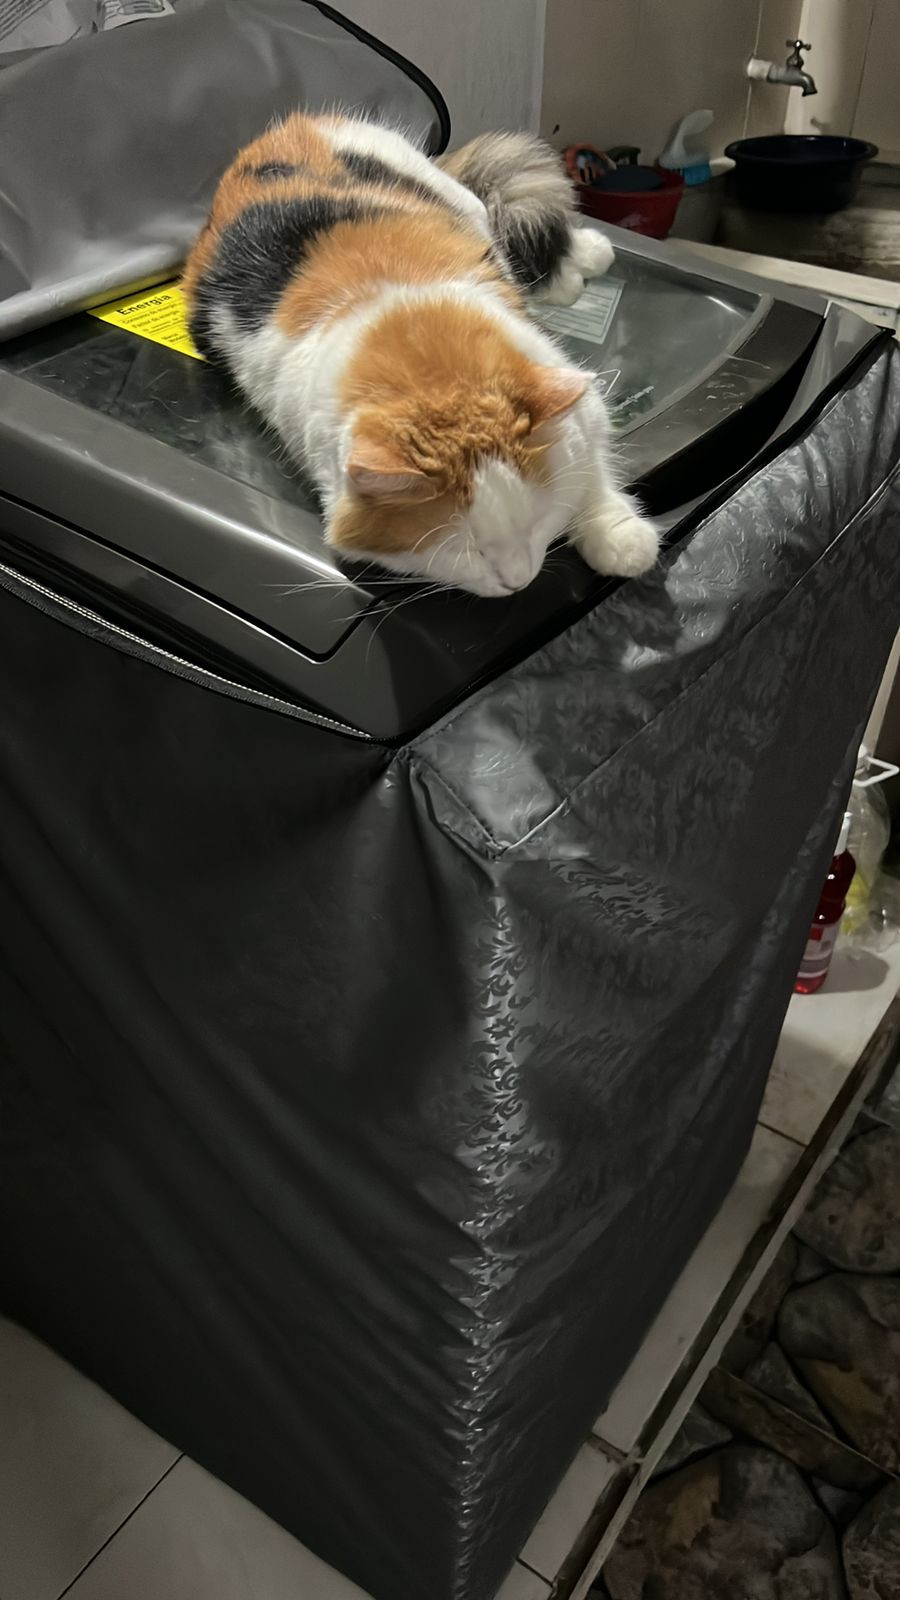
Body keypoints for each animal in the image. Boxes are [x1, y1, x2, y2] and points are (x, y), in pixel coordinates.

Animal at [182, 113, 659, 599]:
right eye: (468, 553)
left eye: (537, 522)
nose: (520, 582)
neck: (414, 340)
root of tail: (285, 128)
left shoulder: (572, 387)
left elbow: (593, 470)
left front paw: (622, 540)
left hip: (459, 198)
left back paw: (588, 258)